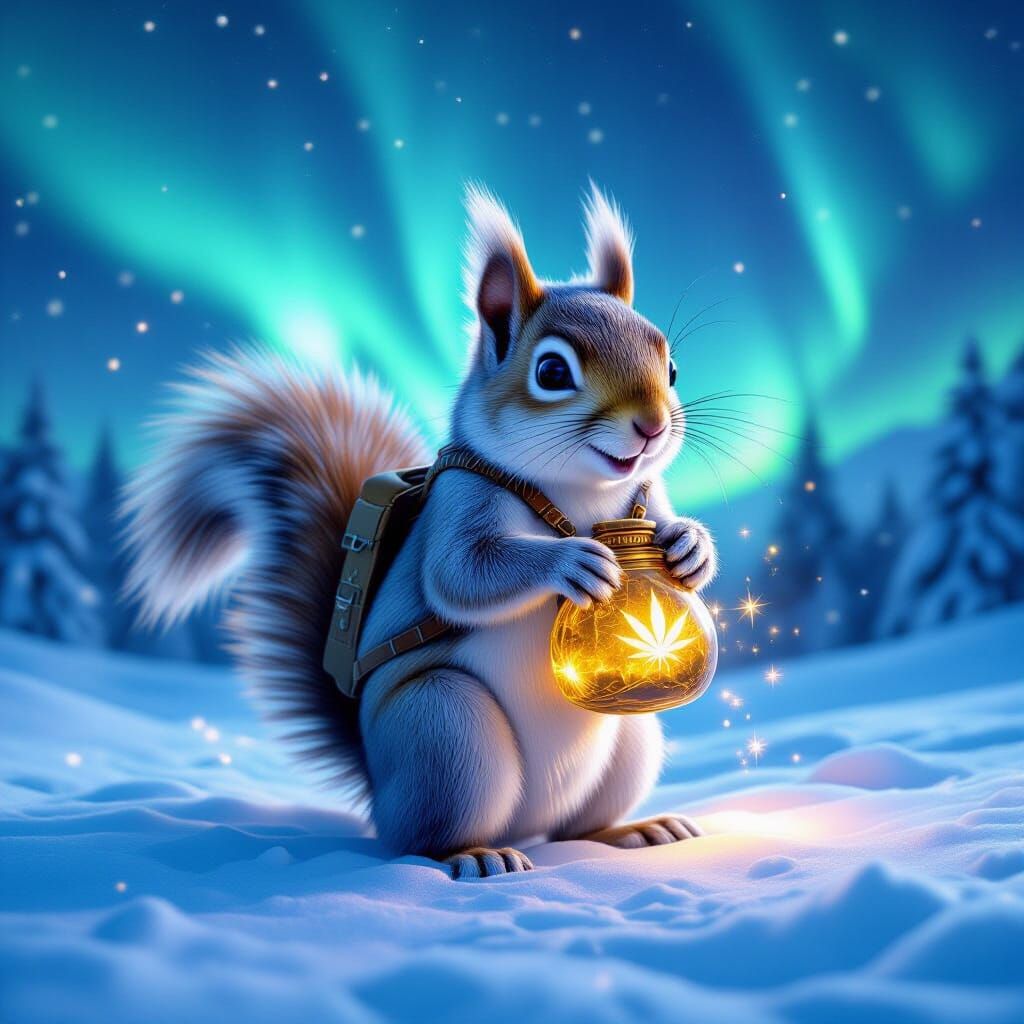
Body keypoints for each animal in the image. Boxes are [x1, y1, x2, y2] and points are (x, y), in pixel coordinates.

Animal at [123, 184, 718, 879]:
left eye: (671, 368)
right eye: (551, 372)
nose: (652, 426)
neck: (579, 492)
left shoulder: (646, 495)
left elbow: (663, 522)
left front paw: (689, 548)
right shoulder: (461, 501)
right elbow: (461, 575)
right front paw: (572, 562)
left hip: (631, 736)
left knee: (583, 823)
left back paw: (635, 829)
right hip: (443, 730)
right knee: (421, 837)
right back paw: (477, 854)